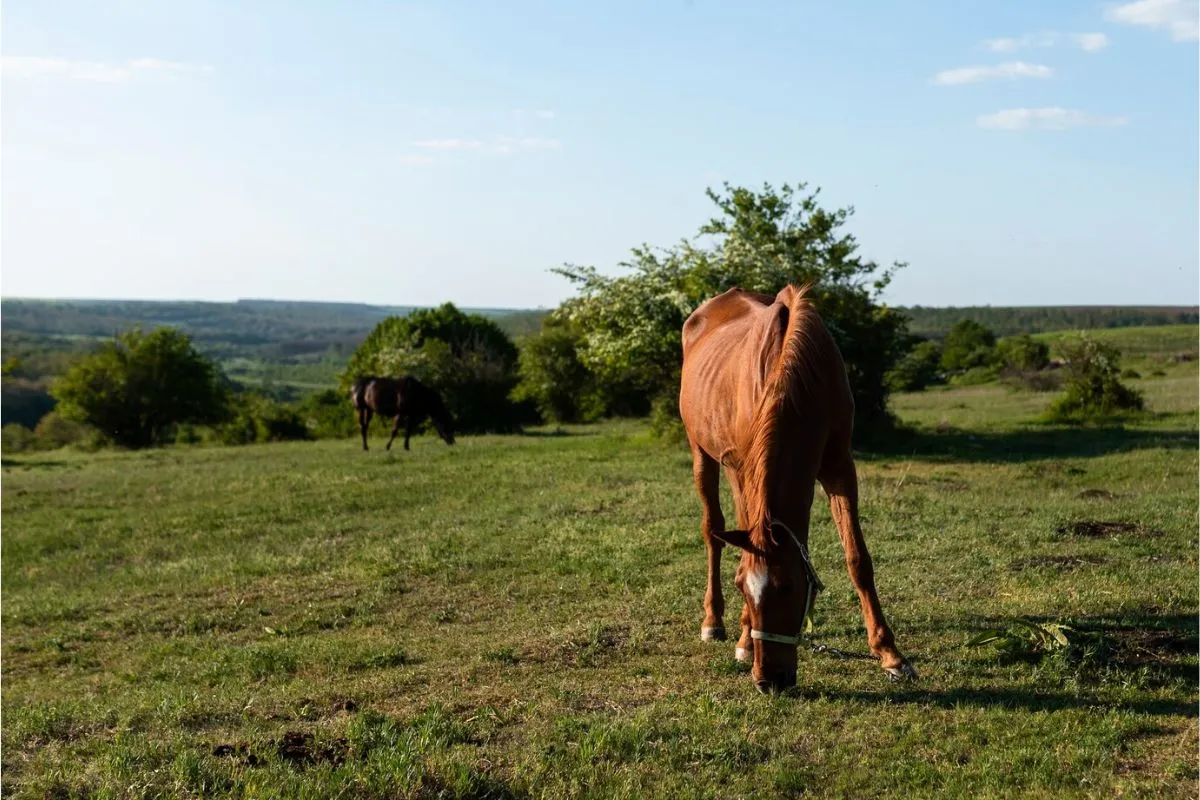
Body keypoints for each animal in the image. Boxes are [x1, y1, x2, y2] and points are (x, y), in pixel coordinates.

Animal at [681, 284, 912, 690]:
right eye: (741, 587)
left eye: (788, 586)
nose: (768, 680)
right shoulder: (745, 470)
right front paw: (744, 639)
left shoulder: (839, 468)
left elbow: (858, 559)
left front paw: (890, 654)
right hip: (703, 454)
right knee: (712, 531)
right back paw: (714, 622)